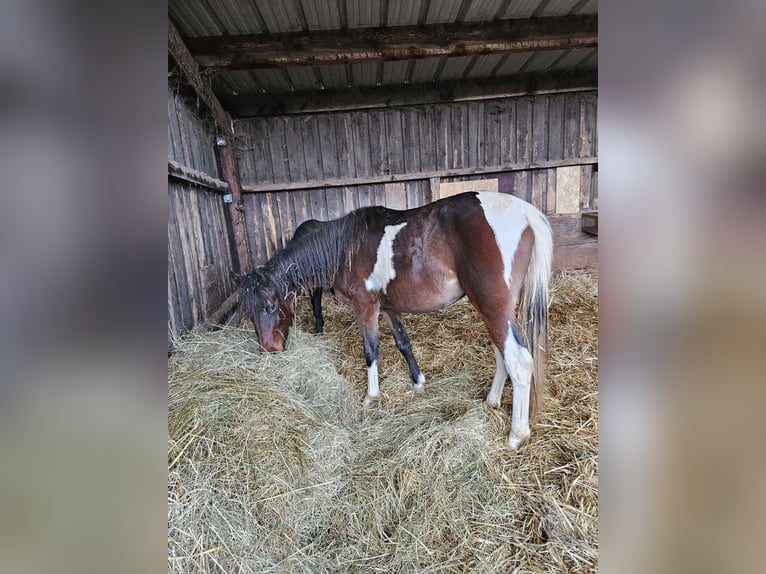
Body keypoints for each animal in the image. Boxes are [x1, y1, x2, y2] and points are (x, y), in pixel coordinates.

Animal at [238, 194, 552, 450]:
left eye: (269, 306)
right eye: (249, 313)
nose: (269, 349)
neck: (346, 246)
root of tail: (526, 212)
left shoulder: (366, 306)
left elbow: (371, 351)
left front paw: (371, 397)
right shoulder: (389, 308)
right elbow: (403, 343)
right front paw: (418, 382)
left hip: (493, 307)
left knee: (519, 362)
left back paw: (516, 435)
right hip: (494, 310)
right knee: (502, 354)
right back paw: (491, 401)